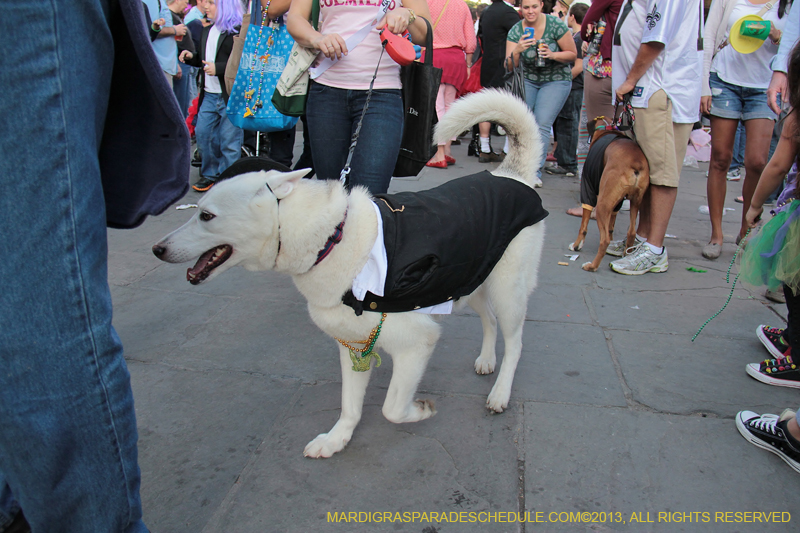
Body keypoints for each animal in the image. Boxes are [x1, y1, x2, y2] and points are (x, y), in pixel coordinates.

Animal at [154, 89, 548, 456]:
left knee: (515, 342)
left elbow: (393, 408)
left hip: (507, 291)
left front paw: (421, 410)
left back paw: (500, 392)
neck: (330, 238)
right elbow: (350, 407)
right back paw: (486, 360)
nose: (157, 249)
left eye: (206, 215)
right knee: (490, 321)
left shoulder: (417, 343)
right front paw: (336, 440)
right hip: (471, 283)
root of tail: (511, 175)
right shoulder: (354, 346)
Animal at [568, 119, 648, 272]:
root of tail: (636, 162)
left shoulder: (588, 188)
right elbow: (611, 225)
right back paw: (624, 257)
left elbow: (583, 227)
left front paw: (576, 245)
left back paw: (592, 266)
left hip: (602, 205)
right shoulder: (617, 204)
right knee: (631, 232)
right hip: (636, 202)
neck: (606, 130)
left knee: (603, 240)